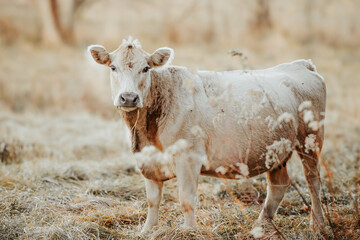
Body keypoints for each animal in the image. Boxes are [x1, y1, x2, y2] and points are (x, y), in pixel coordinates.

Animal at [88, 37, 326, 232]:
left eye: (146, 68)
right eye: (113, 67)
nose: (128, 97)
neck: (146, 133)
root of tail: (300, 64)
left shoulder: (188, 156)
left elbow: (186, 198)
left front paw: (188, 231)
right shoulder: (148, 159)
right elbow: (152, 200)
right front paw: (147, 230)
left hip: (310, 140)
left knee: (312, 181)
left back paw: (317, 224)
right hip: (275, 149)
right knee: (279, 184)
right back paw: (260, 225)